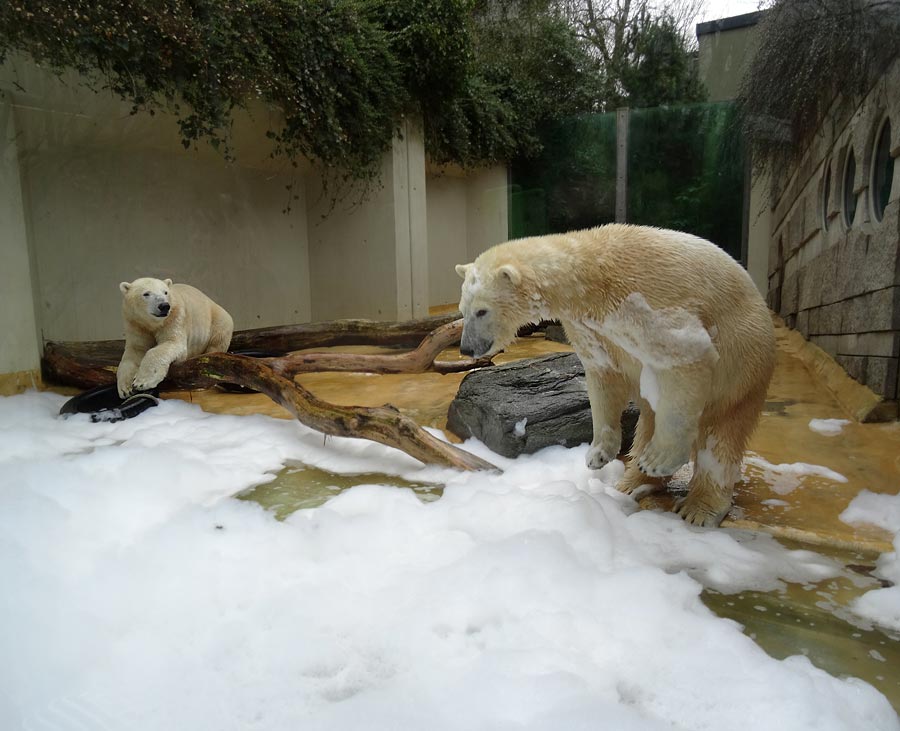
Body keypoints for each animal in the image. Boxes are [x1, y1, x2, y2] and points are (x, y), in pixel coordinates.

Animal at [454, 223, 776, 528]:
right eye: (462, 309)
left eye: (481, 311)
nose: (467, 348)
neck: (591, 275)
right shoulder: (589, 325)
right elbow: (603, 374)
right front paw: (597, 454)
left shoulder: (648, 300)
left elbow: (683, 360)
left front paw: (660, 460)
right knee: (649, 420)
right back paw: (630, 483)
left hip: (743, 362)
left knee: (719, 437)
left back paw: (697, 507)